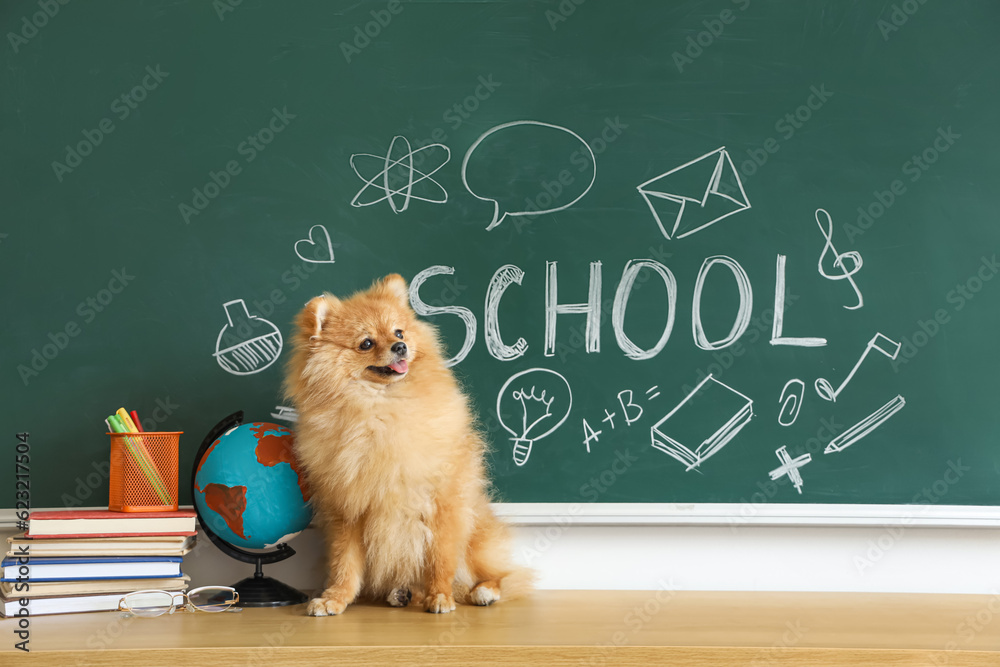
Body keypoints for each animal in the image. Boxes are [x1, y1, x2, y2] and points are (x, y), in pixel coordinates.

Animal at [284, 272, 532, 616]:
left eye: (398, 331)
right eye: (366, 343)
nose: (400, 346)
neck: (380, 411)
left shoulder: (442, 501)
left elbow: (441, 557)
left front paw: (440, 596)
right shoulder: (347, 510)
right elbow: (345, 563)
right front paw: (335, 598)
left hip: (475, 536)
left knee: (494, 575)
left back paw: (481, 591)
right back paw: (403, 593)